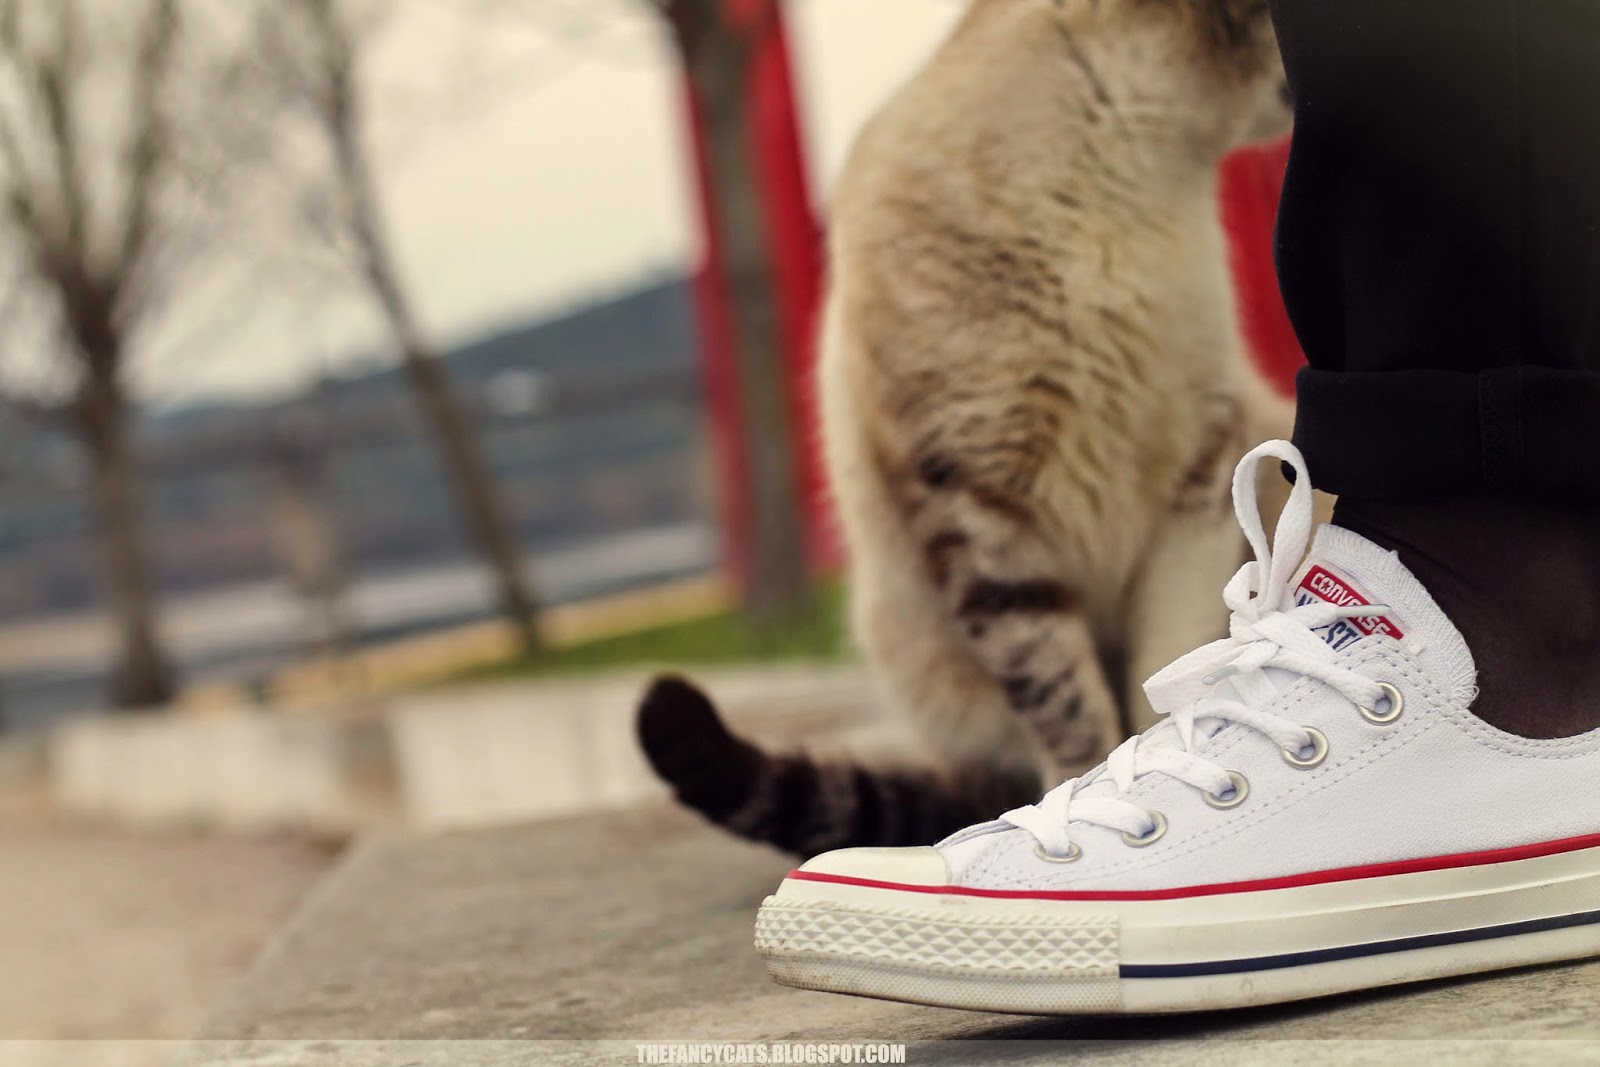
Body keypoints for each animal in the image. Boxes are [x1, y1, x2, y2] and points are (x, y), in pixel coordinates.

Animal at [638, 0, 1296, 857]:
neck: (1123, 195)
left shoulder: (1195, 486)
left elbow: (1166, 677)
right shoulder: (982, 512)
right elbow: (1076, 716)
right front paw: (1082, 816)